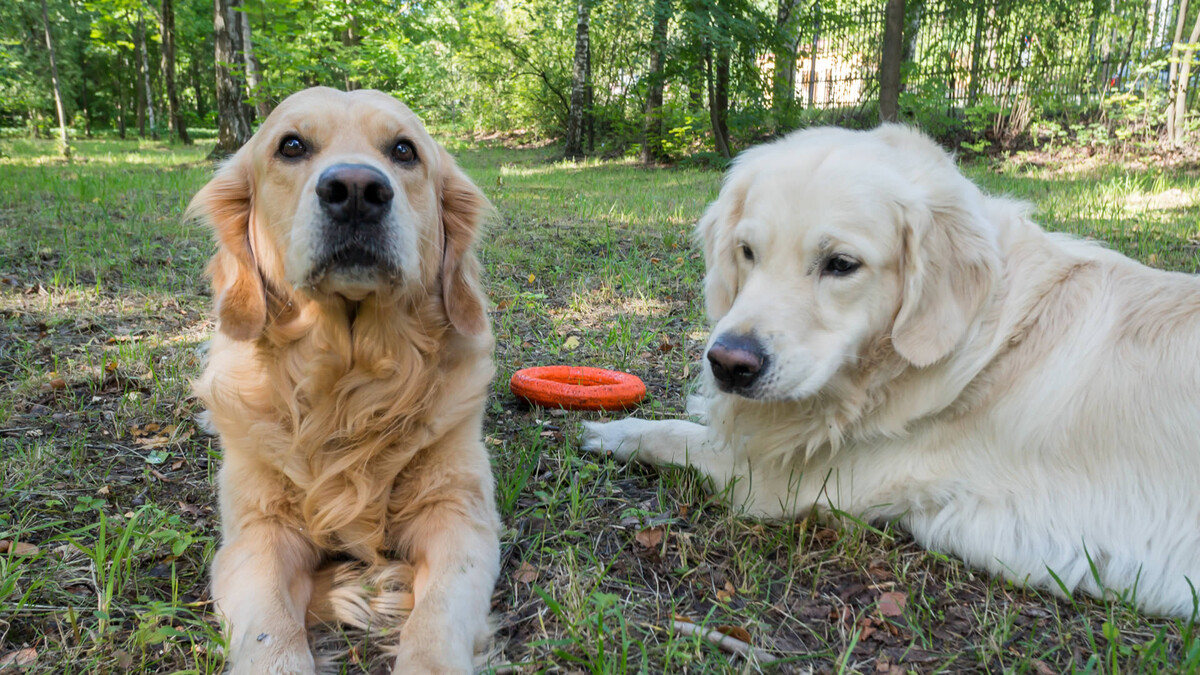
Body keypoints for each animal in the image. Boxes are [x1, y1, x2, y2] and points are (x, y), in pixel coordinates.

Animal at [189, 86, 499, 667]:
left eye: (403, 151)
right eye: (291, 145)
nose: (356, 190)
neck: (348, 386)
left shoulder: (458, 516)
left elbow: (435, 618)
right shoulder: (256, 535)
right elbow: (271, 635)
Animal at [585, 123, 1200, 619]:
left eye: (841, 265)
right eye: (746, 251)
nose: (729, 363)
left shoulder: (784, 484)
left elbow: (680, 435)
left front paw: (616, 432)